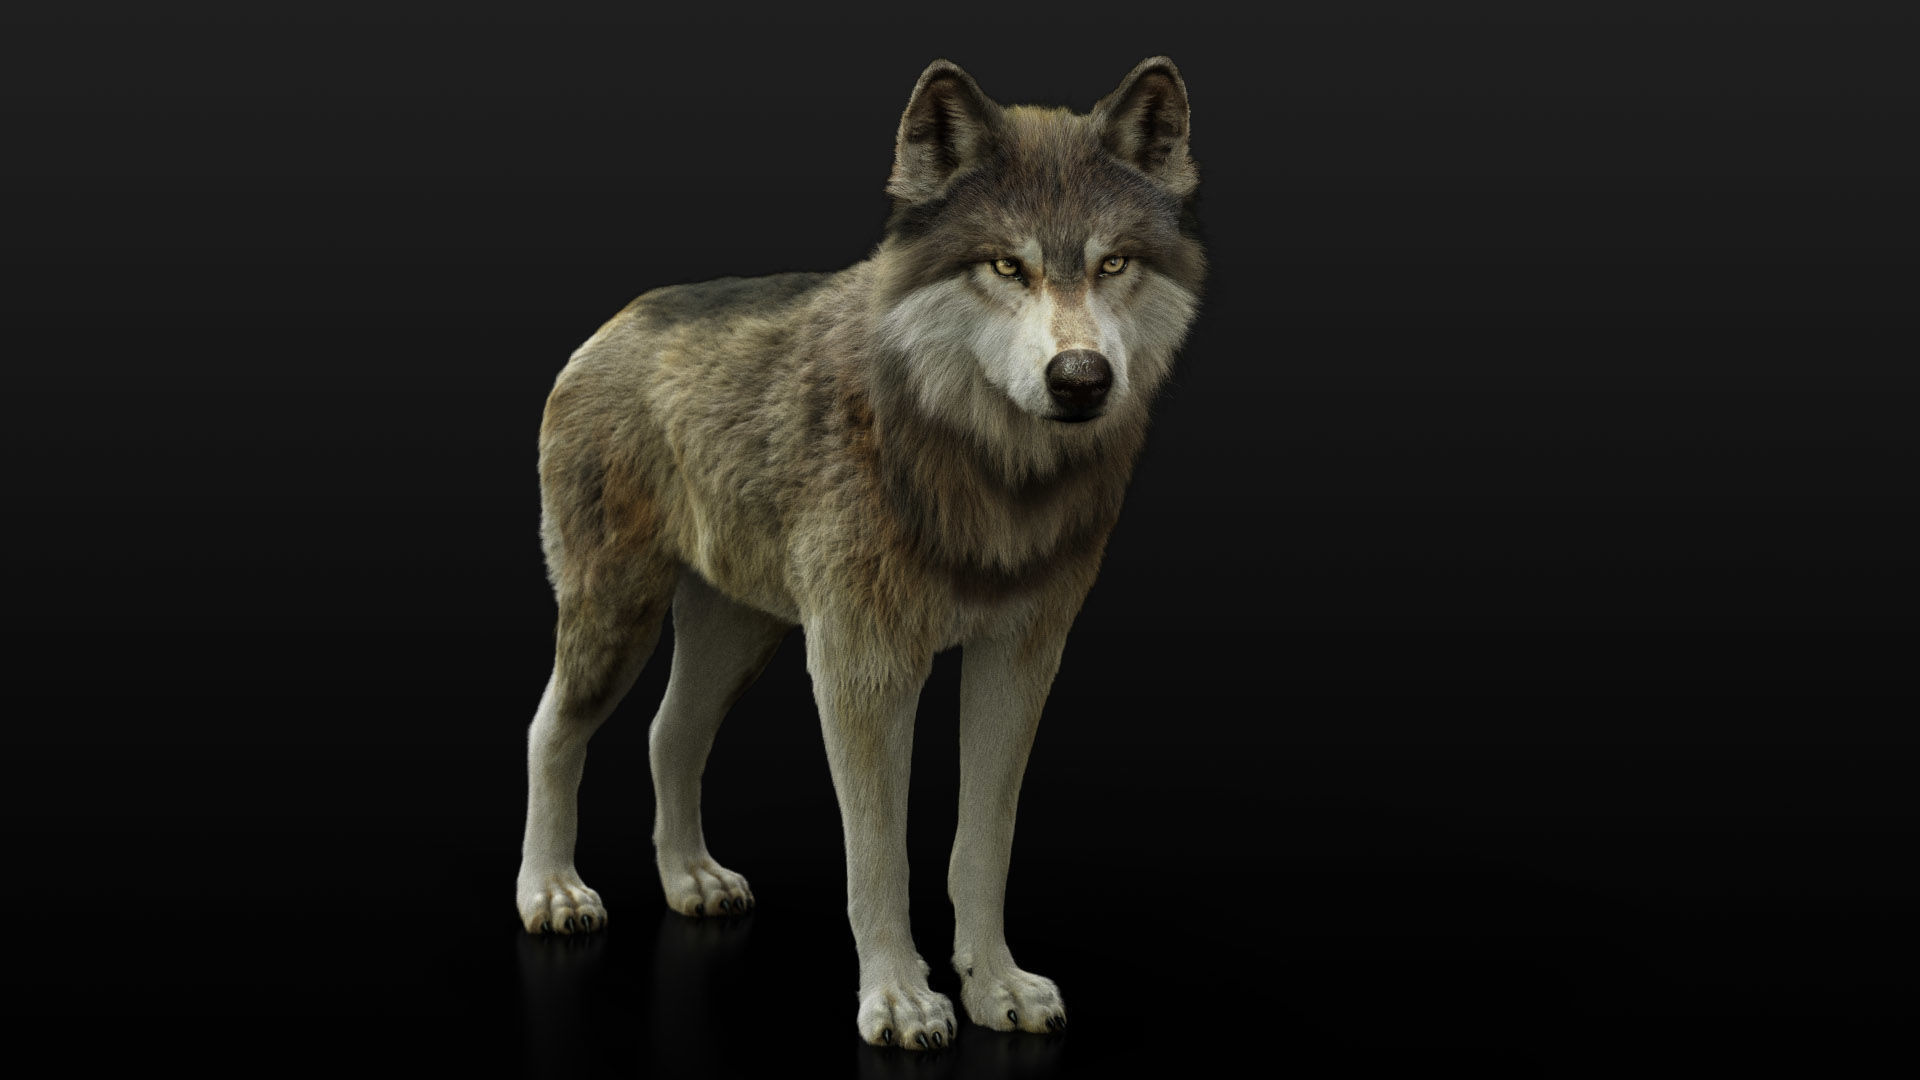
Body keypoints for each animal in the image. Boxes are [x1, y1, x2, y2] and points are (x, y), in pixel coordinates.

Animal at [514, 56, 1204, 1049]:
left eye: (1114, 262)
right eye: (1007, 265)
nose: (1080, 379)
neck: (986, 474)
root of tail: (614, 322)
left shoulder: (1021, 658)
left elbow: (980, 844)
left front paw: (995, 986)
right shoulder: (864, 666)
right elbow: (879, 854)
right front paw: (899, 1000)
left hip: (738, 634)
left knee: (668, 733)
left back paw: (692, 881)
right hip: (619, 613)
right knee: (551, 728)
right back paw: (552, 892)